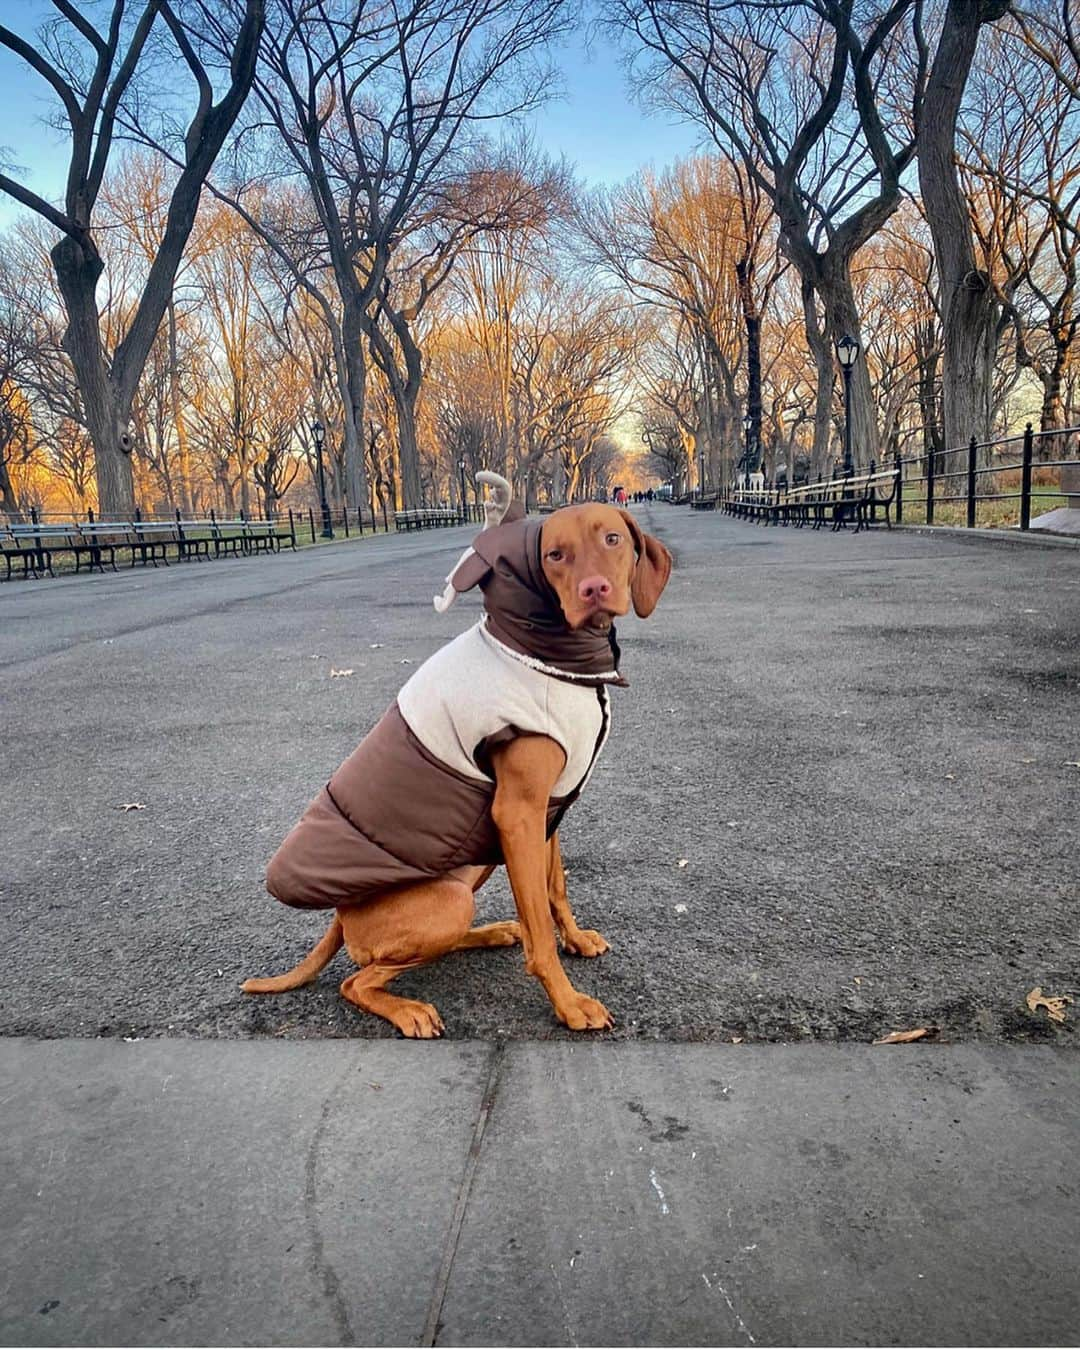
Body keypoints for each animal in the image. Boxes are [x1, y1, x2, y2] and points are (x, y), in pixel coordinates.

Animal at [243, 496, 675, 1031]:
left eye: (612, 539)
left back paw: (491, 933)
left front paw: (574, 939)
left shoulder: (548, 811)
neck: (549, 657)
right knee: (356, 982)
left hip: (474, 867)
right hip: (451, 899)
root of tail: (339, 917)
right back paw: (409, 1011)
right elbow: (540, 929)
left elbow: (555, 889)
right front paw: (569, 1003)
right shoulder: (518, 813)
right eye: (554, 555)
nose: (594, 589)